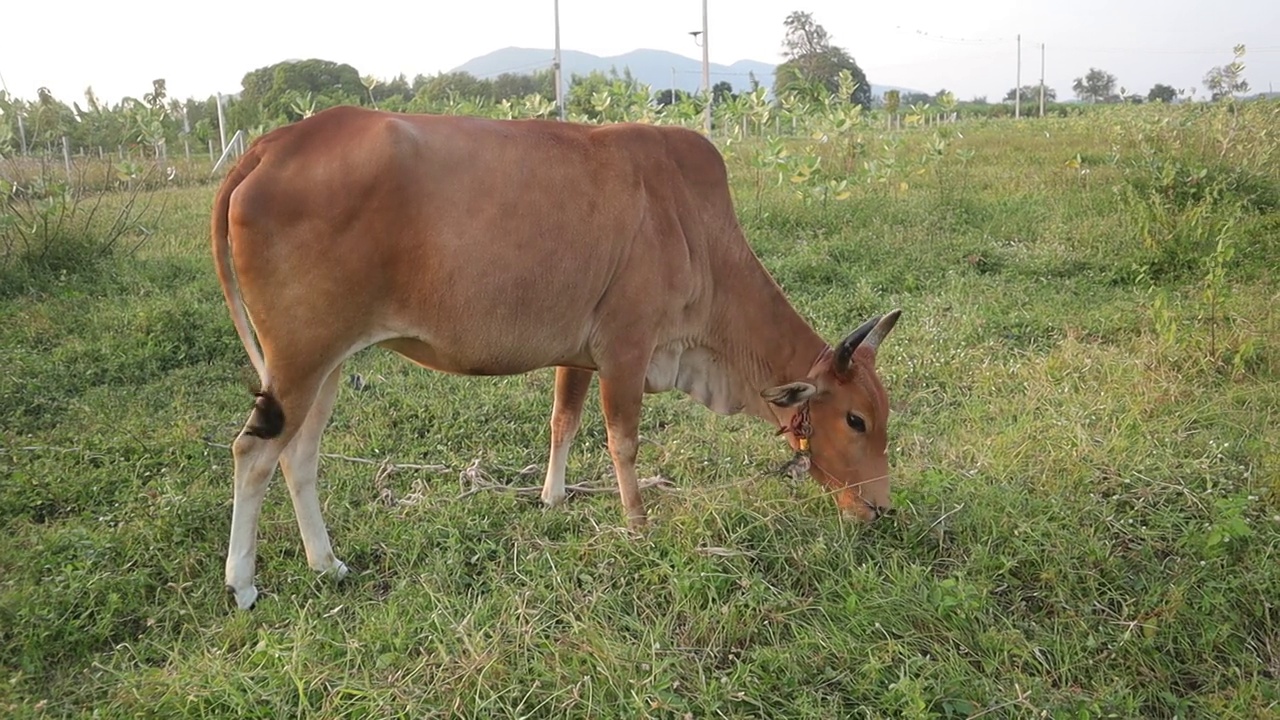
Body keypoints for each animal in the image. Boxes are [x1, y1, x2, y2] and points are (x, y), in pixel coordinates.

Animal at [212, 106, 901, 604]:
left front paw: (553, 498)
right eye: (855, 420)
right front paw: (638, 524)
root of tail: (275, 143)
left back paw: (326, 563)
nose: (880, 508)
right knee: (253, 453)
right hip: (299, 360)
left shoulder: (579, 355)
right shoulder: (625, 349)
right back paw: (243, 583)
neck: (695, 231)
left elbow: (562, 422)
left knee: (299, 456)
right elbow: (623, 441)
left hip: (324, 364)